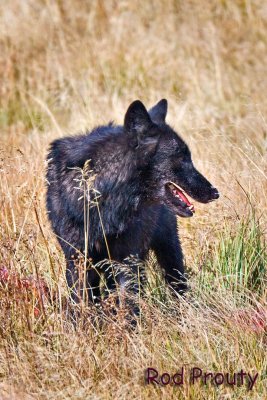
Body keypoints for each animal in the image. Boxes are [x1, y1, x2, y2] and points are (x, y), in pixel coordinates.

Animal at [46, 100, 220, 306]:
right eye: (182, 157)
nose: (215, 192)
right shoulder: (77, 260)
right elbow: (80, 303)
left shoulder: (127, 260)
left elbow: (129, 304)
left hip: (168, 250)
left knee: (177, 284)